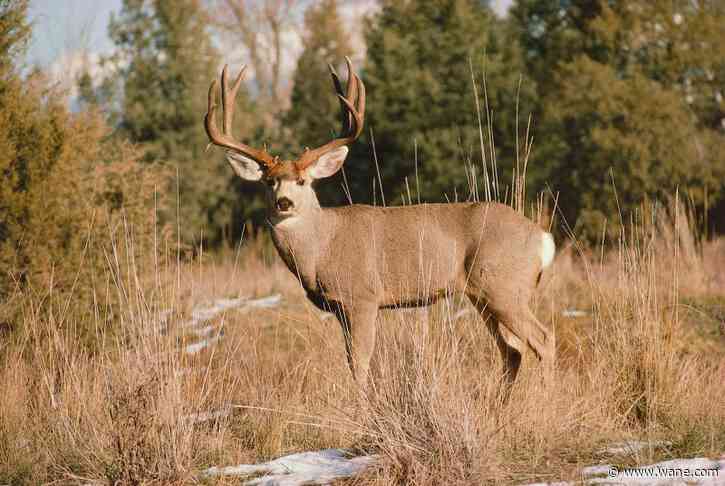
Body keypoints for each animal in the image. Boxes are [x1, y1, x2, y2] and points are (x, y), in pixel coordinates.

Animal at [203, 58, 556, 390]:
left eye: (303, 181)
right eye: (269, 182)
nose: (284, 203)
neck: (322, 247)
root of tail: (542, 238)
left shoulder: (363, 296)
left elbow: (359, 365)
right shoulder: (341, 309)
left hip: (504, 286)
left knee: (543, 340)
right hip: (482, 295)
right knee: (512, 351)